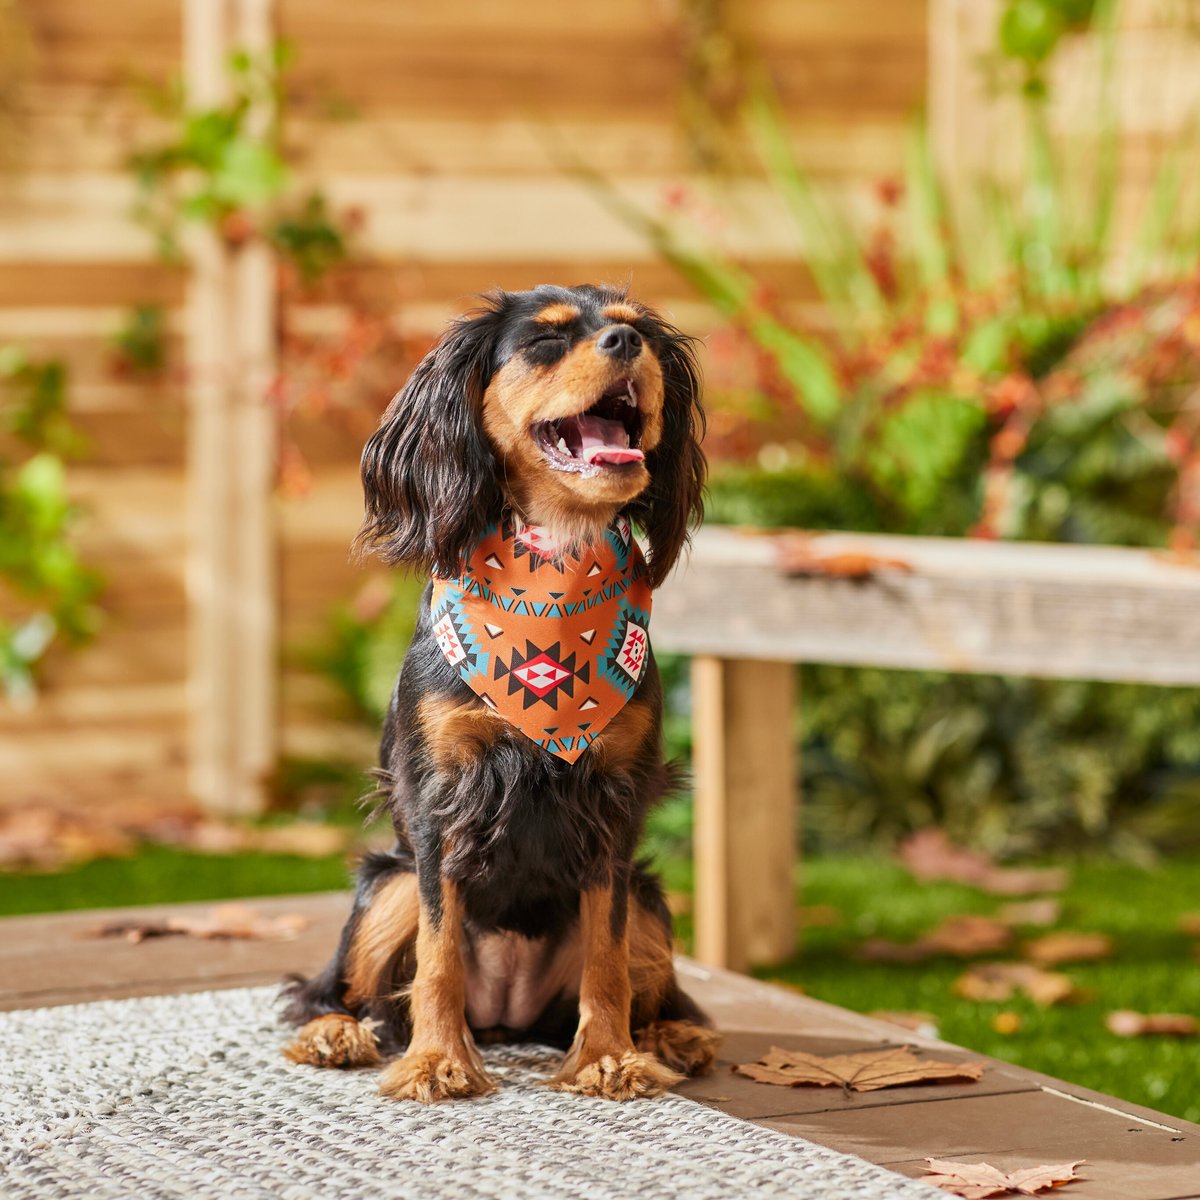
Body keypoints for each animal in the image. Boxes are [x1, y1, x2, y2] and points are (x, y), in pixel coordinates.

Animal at [280, 283, 715, 1104]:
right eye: (544, 342)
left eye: (636, 328)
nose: (624, 344)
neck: (554, 562)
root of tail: (509, 1019)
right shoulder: (441, 797)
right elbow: (439, 951)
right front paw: (436, 1060)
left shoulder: (611, 803)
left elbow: (606, 955)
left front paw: (608, 1056)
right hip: (387, 882)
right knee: (337, 986)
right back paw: (334, 1031)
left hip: (648, 897)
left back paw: (671, 1033)